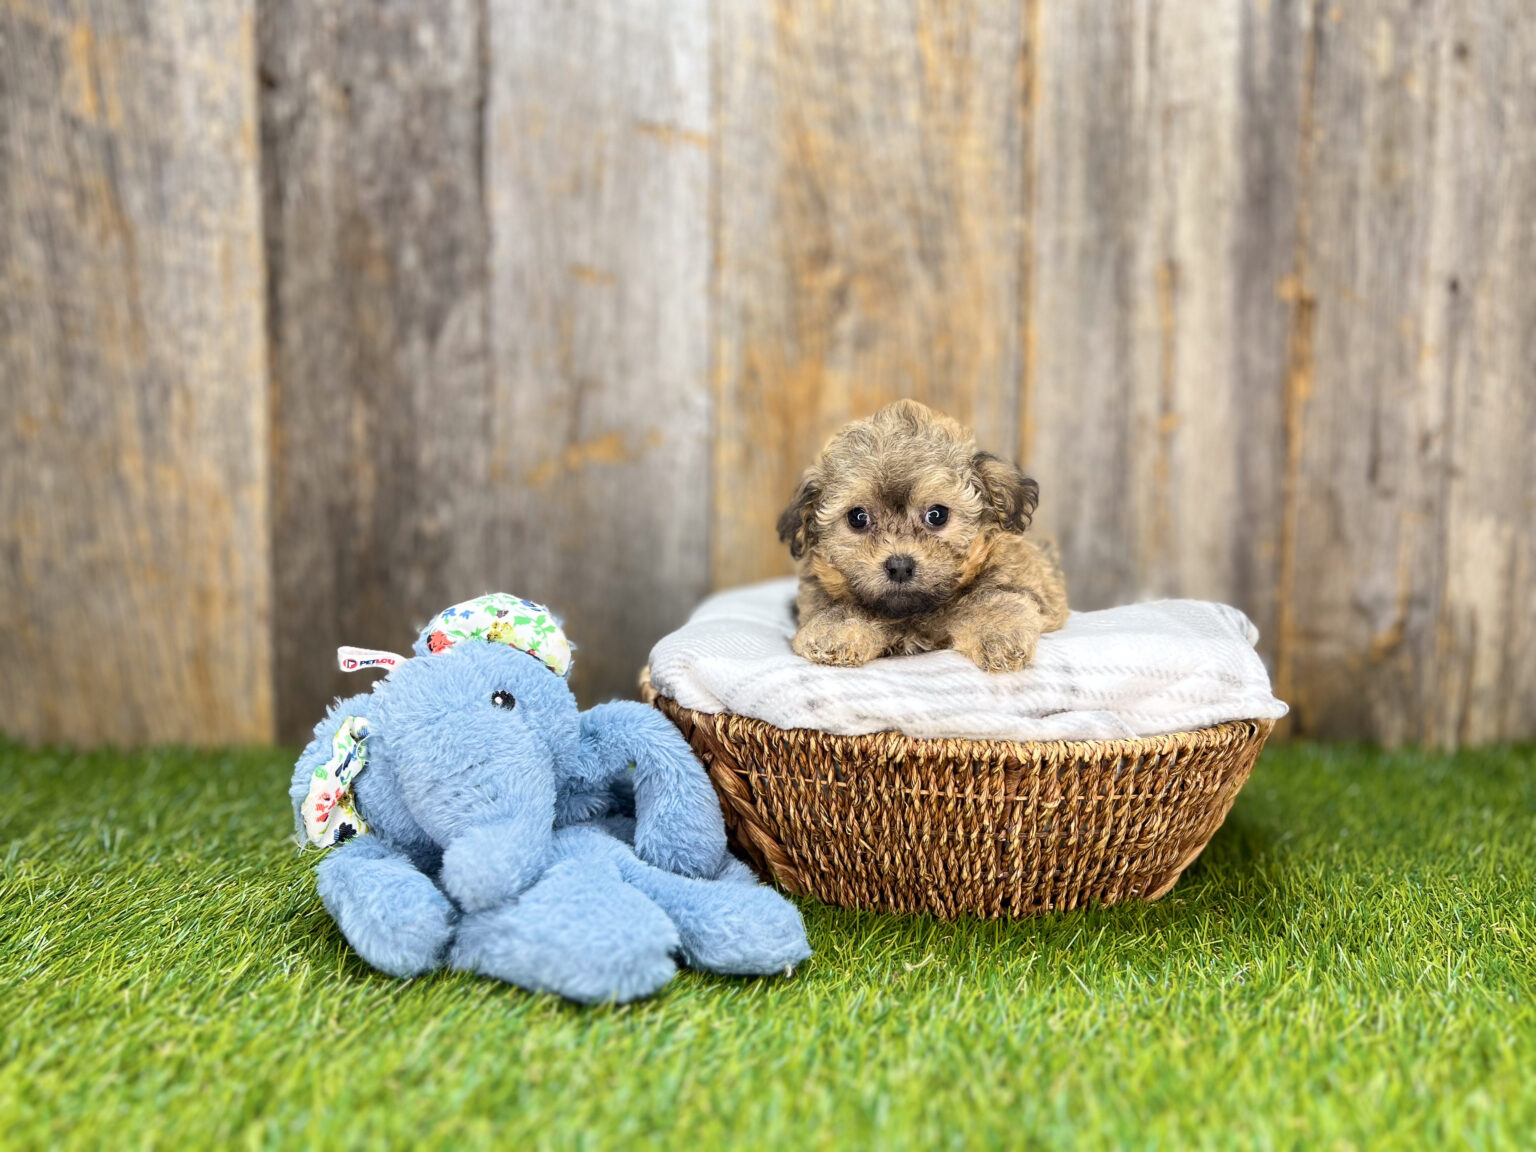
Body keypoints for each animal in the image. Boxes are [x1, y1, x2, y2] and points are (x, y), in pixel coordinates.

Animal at [777, 399, 1068, 672]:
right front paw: (835, 632)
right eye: (858, 518)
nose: (899, 566)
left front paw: (998, 635)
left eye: (937, 515)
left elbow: (994, 598)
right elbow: (837, 608)